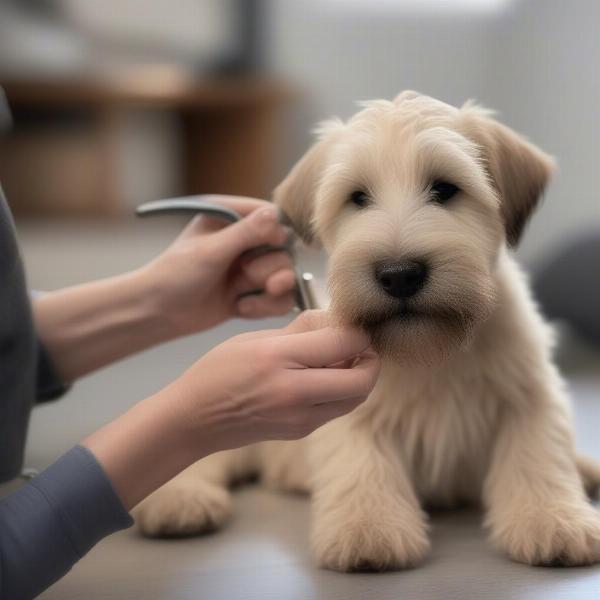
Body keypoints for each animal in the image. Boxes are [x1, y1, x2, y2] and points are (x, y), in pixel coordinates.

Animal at [135, 91, 600, 568]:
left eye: (445, 189)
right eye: (358, 197)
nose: (400, 274)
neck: (432, 354)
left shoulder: (528, 393)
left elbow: (538, 456)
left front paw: (554, 519)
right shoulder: (352, 407)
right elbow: (363, 464)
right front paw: (368, 528)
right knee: (196, 452)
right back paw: (179, 499)